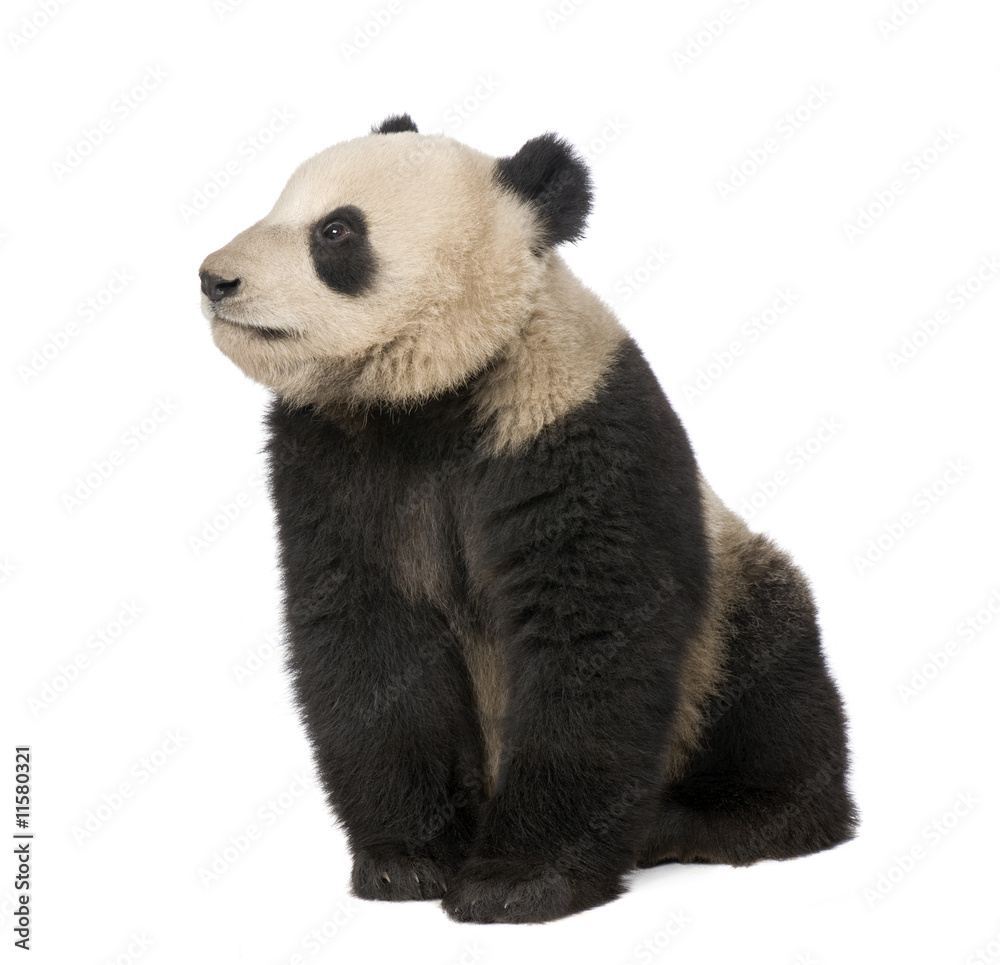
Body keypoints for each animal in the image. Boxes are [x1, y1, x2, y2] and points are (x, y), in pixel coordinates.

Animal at [199, 113, 857, 924]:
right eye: (279, 204)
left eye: (336, 230)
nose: (216, 278)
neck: (430, 397)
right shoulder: (335, 461)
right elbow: (368, 633)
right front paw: (407, 860)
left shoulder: (571, 429)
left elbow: (590, 634)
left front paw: (518, 880)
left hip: (730, 614)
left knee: (774, 684)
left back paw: (717, 821)